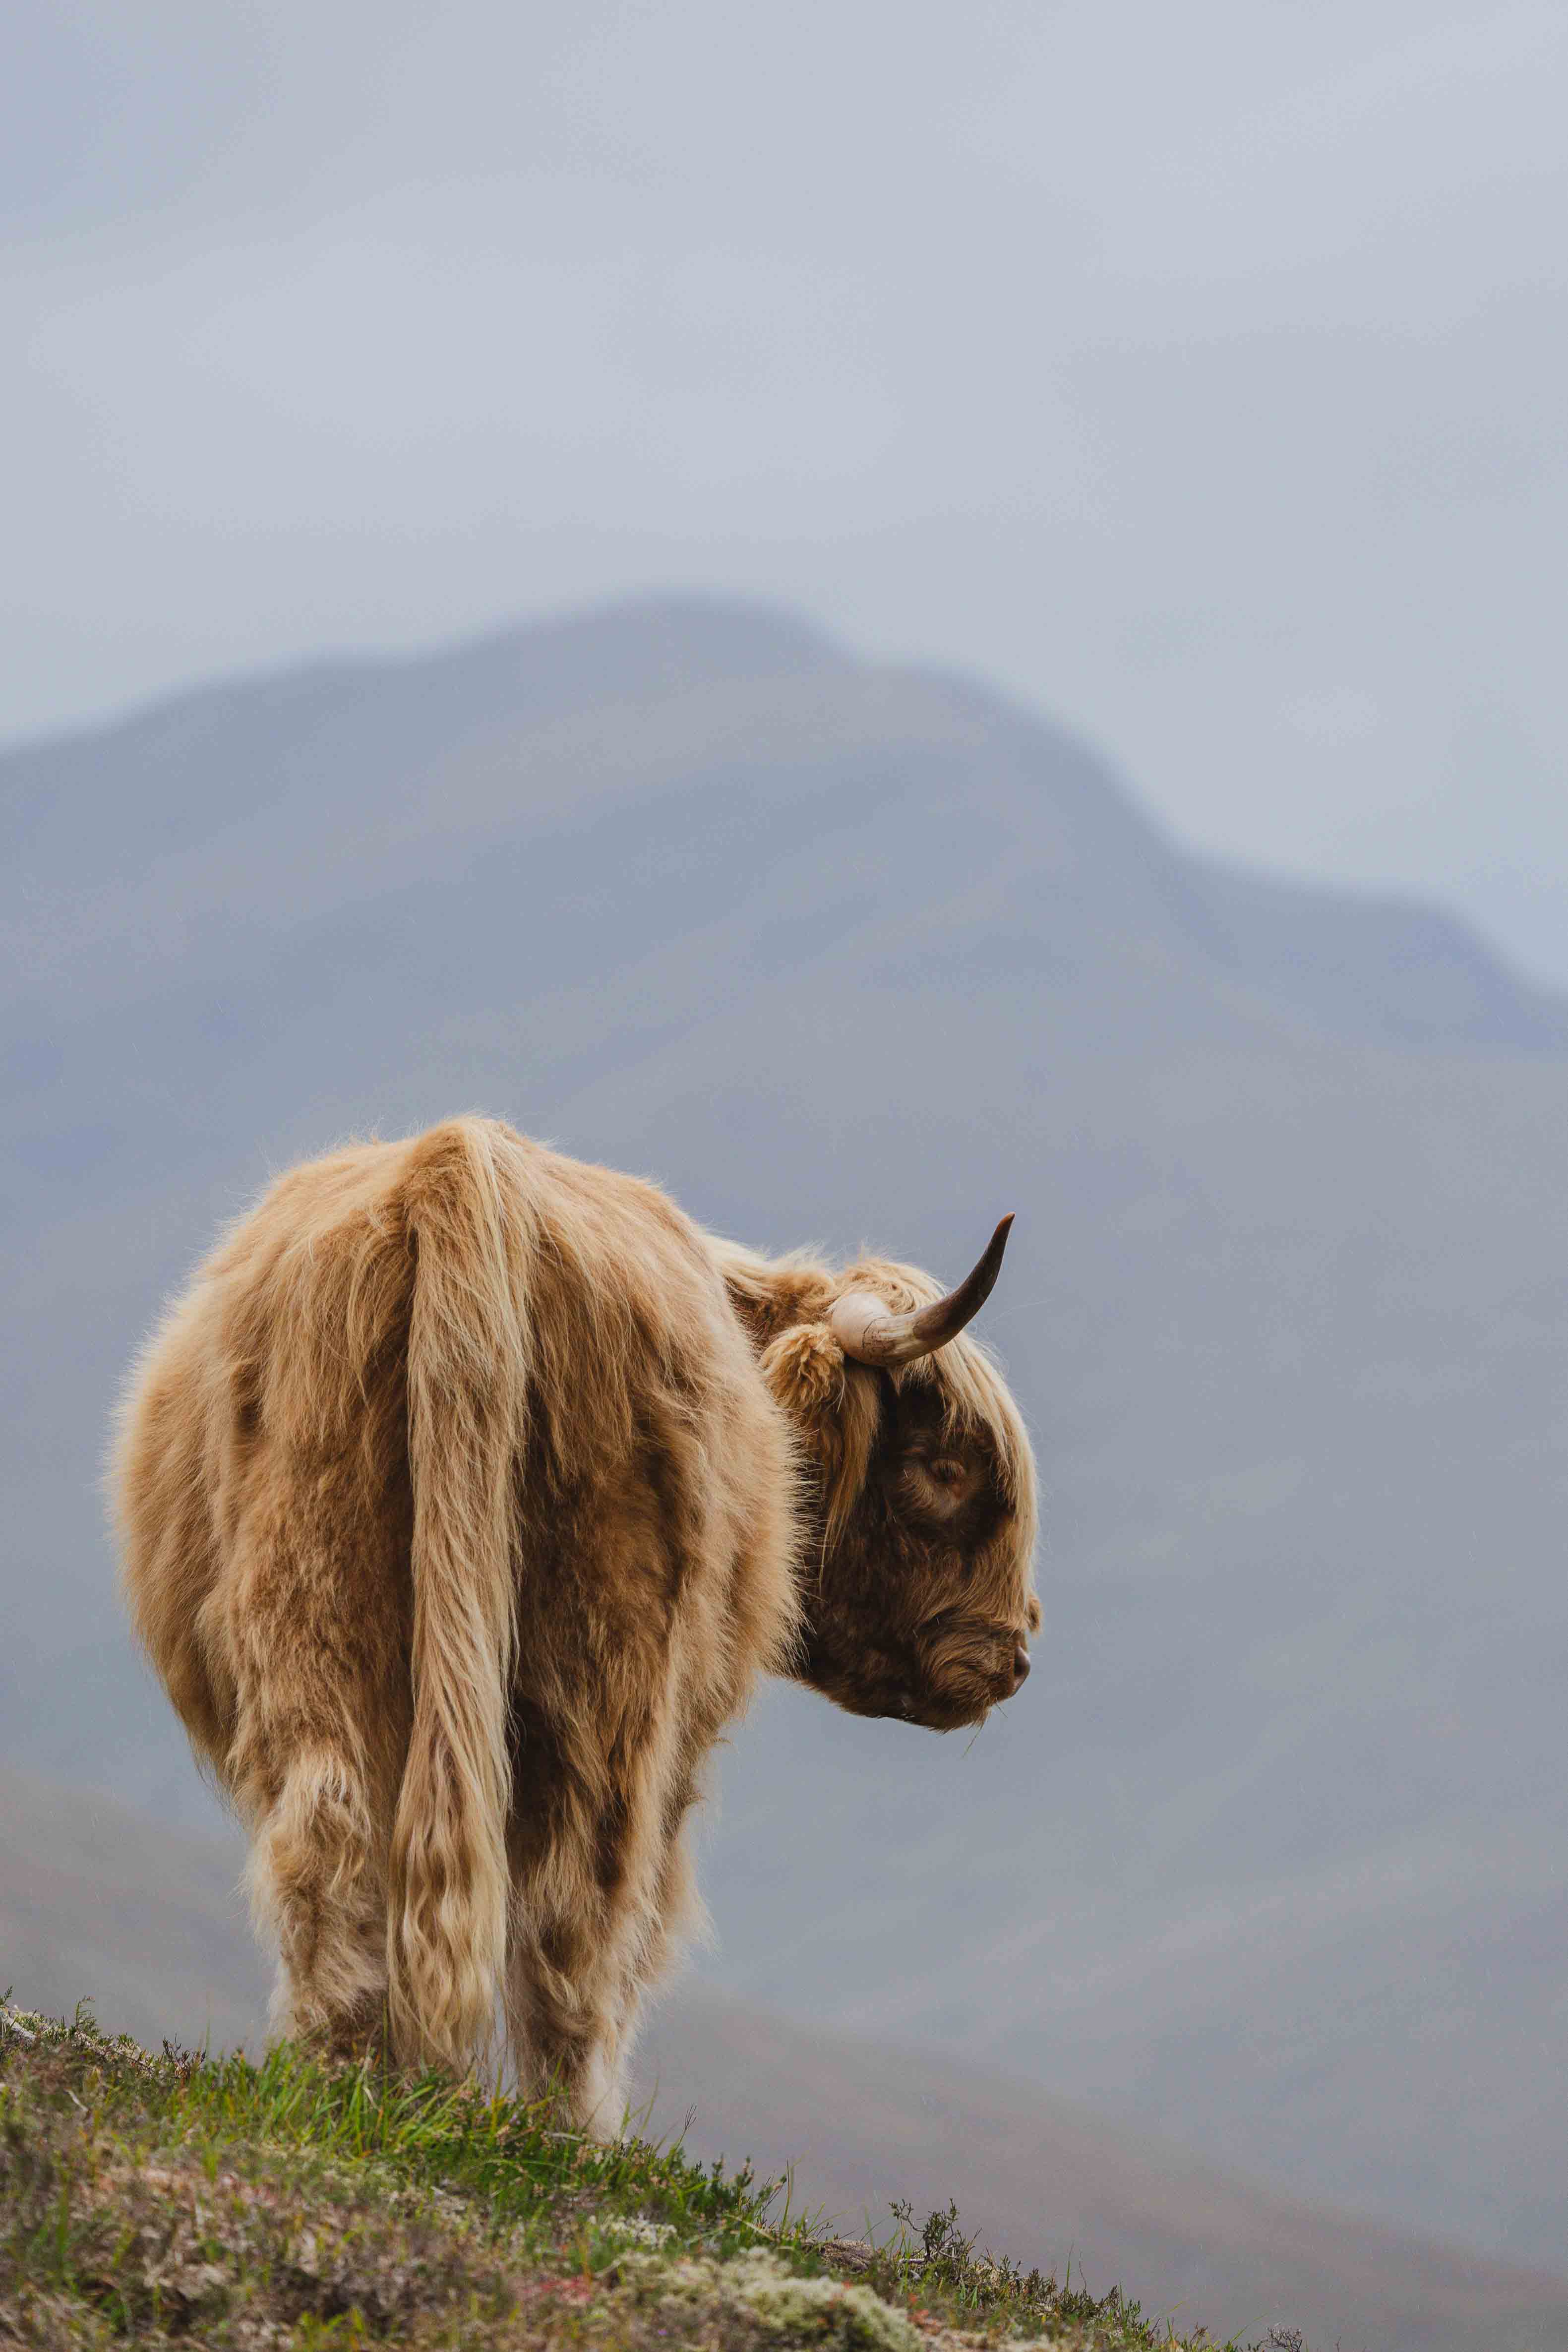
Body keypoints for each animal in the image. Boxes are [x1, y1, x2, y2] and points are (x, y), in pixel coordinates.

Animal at [111, 1117, 1038, 2129]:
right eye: (946, 1466)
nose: (1013, 1652)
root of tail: (457, 1158)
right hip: (610, 1664)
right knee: (580, 1908)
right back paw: (576, 2128)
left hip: (312, 1603)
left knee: (333, 1844)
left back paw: (345, 2082)